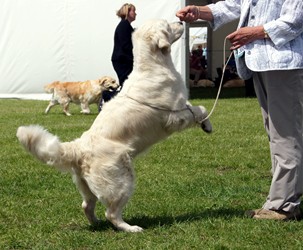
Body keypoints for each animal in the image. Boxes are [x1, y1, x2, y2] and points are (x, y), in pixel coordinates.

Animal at [16, 19, 211, 232]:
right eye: (167, 24)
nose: (181, 20)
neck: (154, 65)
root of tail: (78, 147)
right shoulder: (173, 116)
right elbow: (199, 108)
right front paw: (206, 123)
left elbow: (196, 108)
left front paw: (207, 125)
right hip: (121, 181)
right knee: (111, 213)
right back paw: (131, 228)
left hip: (88, 186)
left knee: (86, 205)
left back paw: (96, 224)